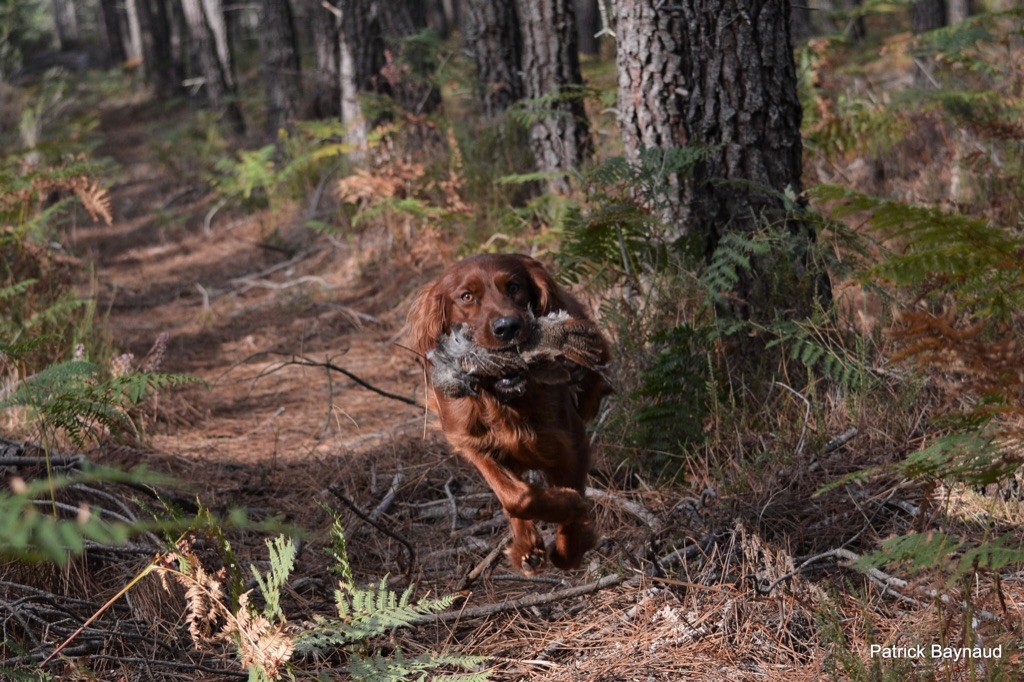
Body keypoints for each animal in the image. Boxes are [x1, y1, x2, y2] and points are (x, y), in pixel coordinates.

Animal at [407, 251, 610, 569]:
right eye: (466, 296)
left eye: (514, 286)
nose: (507, 327)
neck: (505, 401)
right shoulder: (473, 444)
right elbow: (516, 498)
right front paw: (564, 509)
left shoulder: (571, 443)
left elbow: (567, 493)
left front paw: (570, 547)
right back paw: (527, 546)